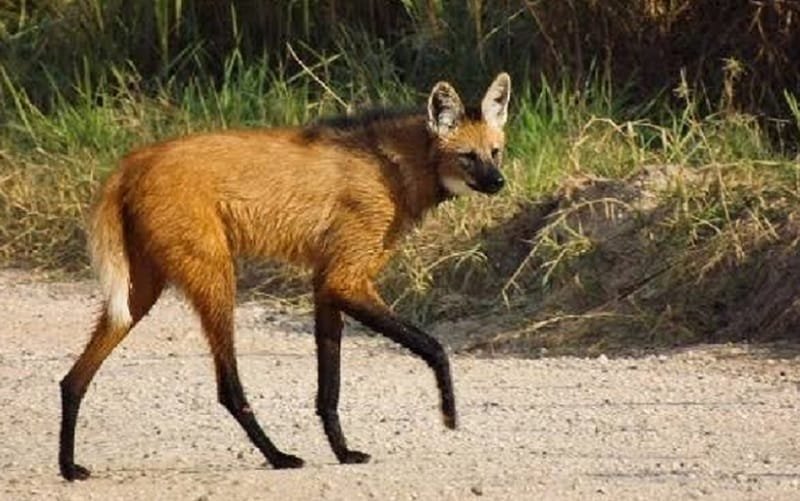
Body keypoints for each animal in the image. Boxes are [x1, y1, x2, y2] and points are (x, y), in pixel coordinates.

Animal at [57, 72, 512, 478]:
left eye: (495, 152)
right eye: (468, 156)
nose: (499, 182)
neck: (395, 166)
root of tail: (130, 163)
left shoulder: (327, 284)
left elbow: (329, 389)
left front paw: (344, 452)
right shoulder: (344, 279)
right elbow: (434, 347)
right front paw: (449, 414)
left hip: (140, 291)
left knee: (73, 378)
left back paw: (69, 466)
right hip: (217, 277)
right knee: (227, 387)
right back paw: (278, 457)